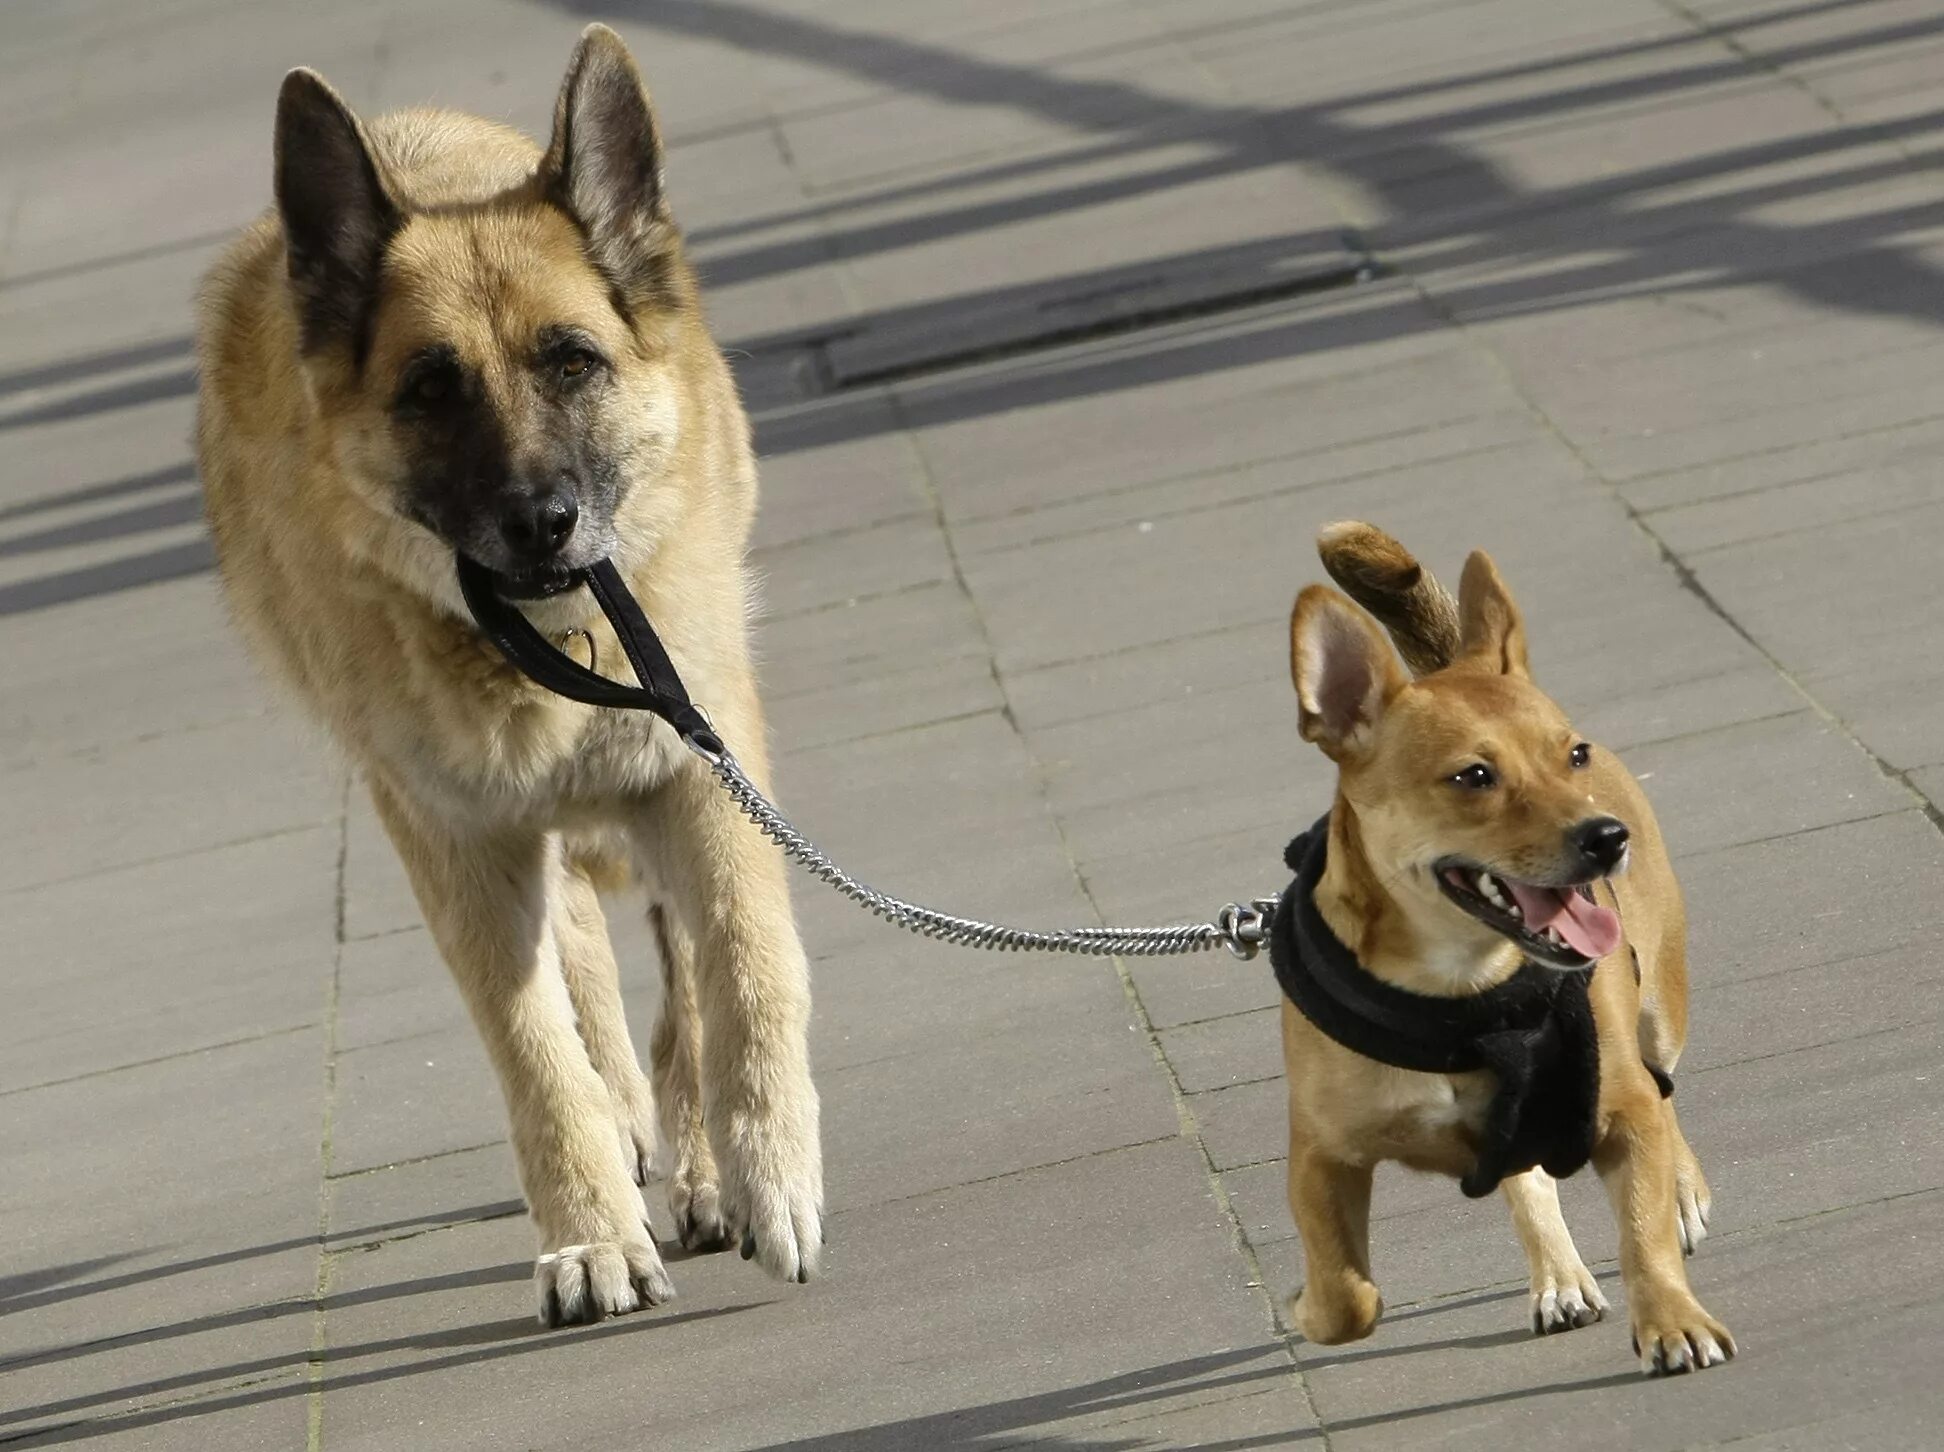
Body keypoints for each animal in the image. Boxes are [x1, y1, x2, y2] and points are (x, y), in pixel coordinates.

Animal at [201, 25, 824, 1329]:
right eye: (431, 388)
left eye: (571, 363)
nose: (545, 523)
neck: (542, 651)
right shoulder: (463, 848)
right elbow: (540, 1052)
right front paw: (591, 1234)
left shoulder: (702, 776)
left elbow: (744, 972)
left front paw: (768, 1171)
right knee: (583, 976)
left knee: (678, 982)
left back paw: (701, 1170)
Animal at [1267, 520, 1741, 1376]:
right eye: (1474, 777)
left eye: (1572, 756)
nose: (1605, 837)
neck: (1463, 991)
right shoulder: (1322, 1155)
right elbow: (1348, 1294)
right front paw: (1311, 1305)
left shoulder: (1620, 1107)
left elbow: (1643, 1229)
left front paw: (1672, 1317)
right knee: (1530, 1178)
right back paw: (1557, 1275)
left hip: (1660, 1010)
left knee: (1664, 1090)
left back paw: (1681, 1193)